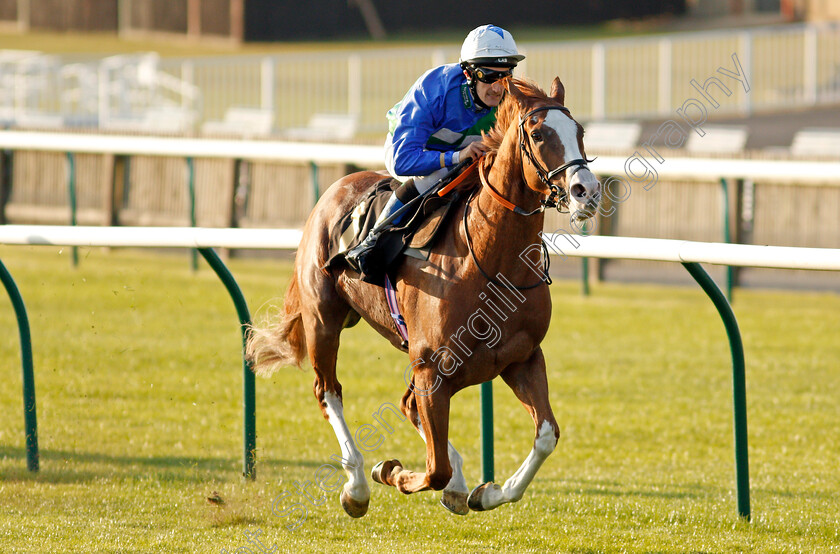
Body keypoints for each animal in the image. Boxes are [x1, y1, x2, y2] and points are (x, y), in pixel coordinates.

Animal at [246, 76, 600, 512]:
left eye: (579, 132)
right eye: (538, 134)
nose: (586, 191)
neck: (490, 260)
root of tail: (338, 187)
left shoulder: (522, 357)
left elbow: (546, 435)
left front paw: (487, 492)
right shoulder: (431, 367)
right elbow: (435, 470)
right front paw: (391, 472)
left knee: (408, 407)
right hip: (323, 320)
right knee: (328, 391)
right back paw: (357, 486)